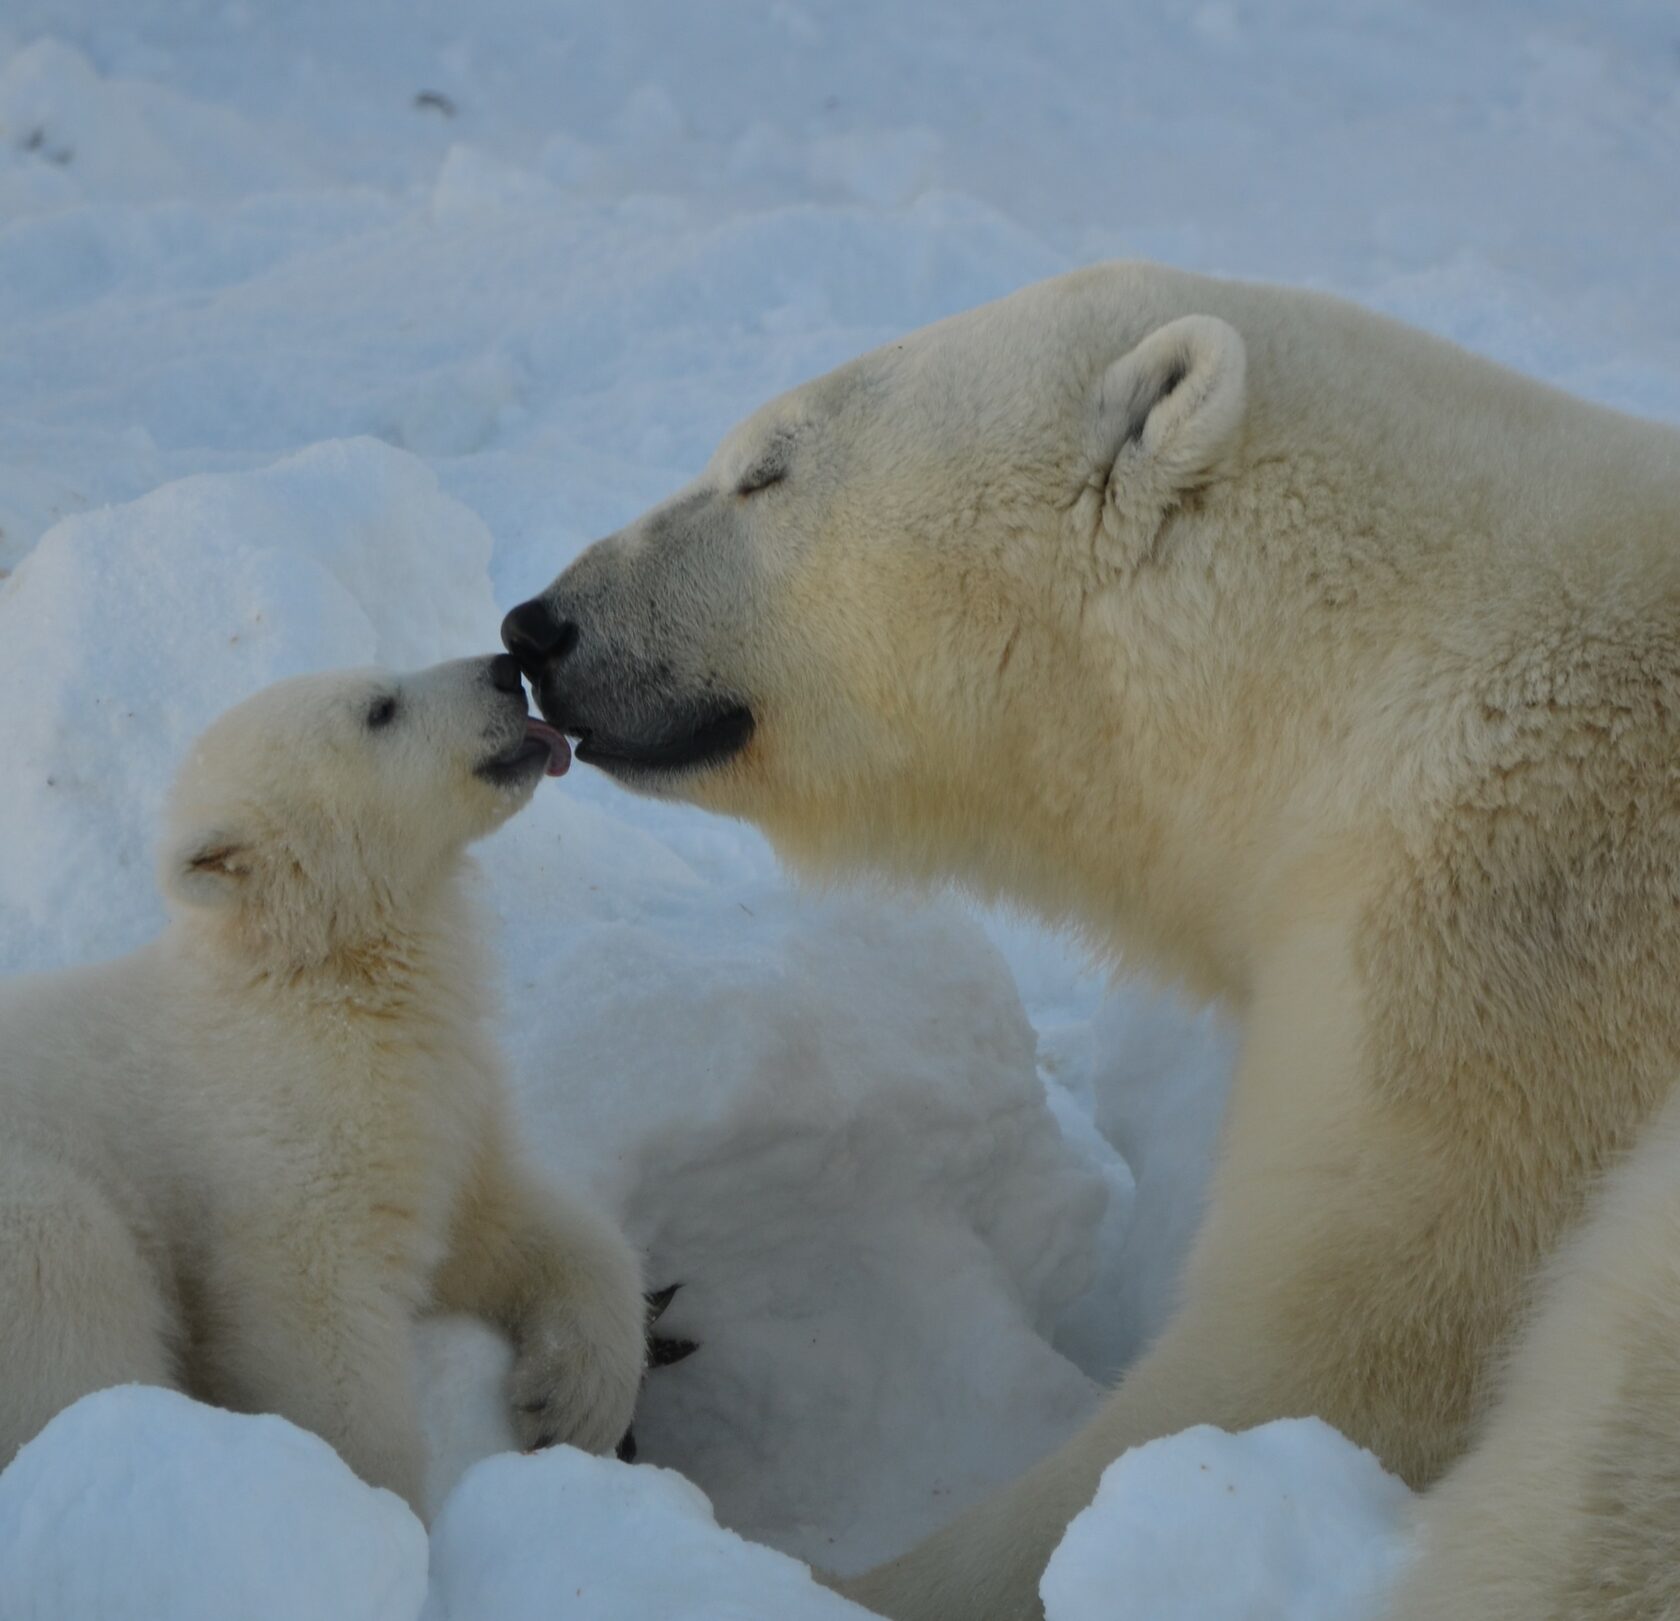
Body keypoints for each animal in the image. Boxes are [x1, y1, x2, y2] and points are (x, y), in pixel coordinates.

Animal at [503, 268, 1680, 1619]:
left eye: (766, 469)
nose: (539, 625)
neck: (1376, 658)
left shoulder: (1506, 945)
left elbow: (1339, 1345)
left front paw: (830, 1571)